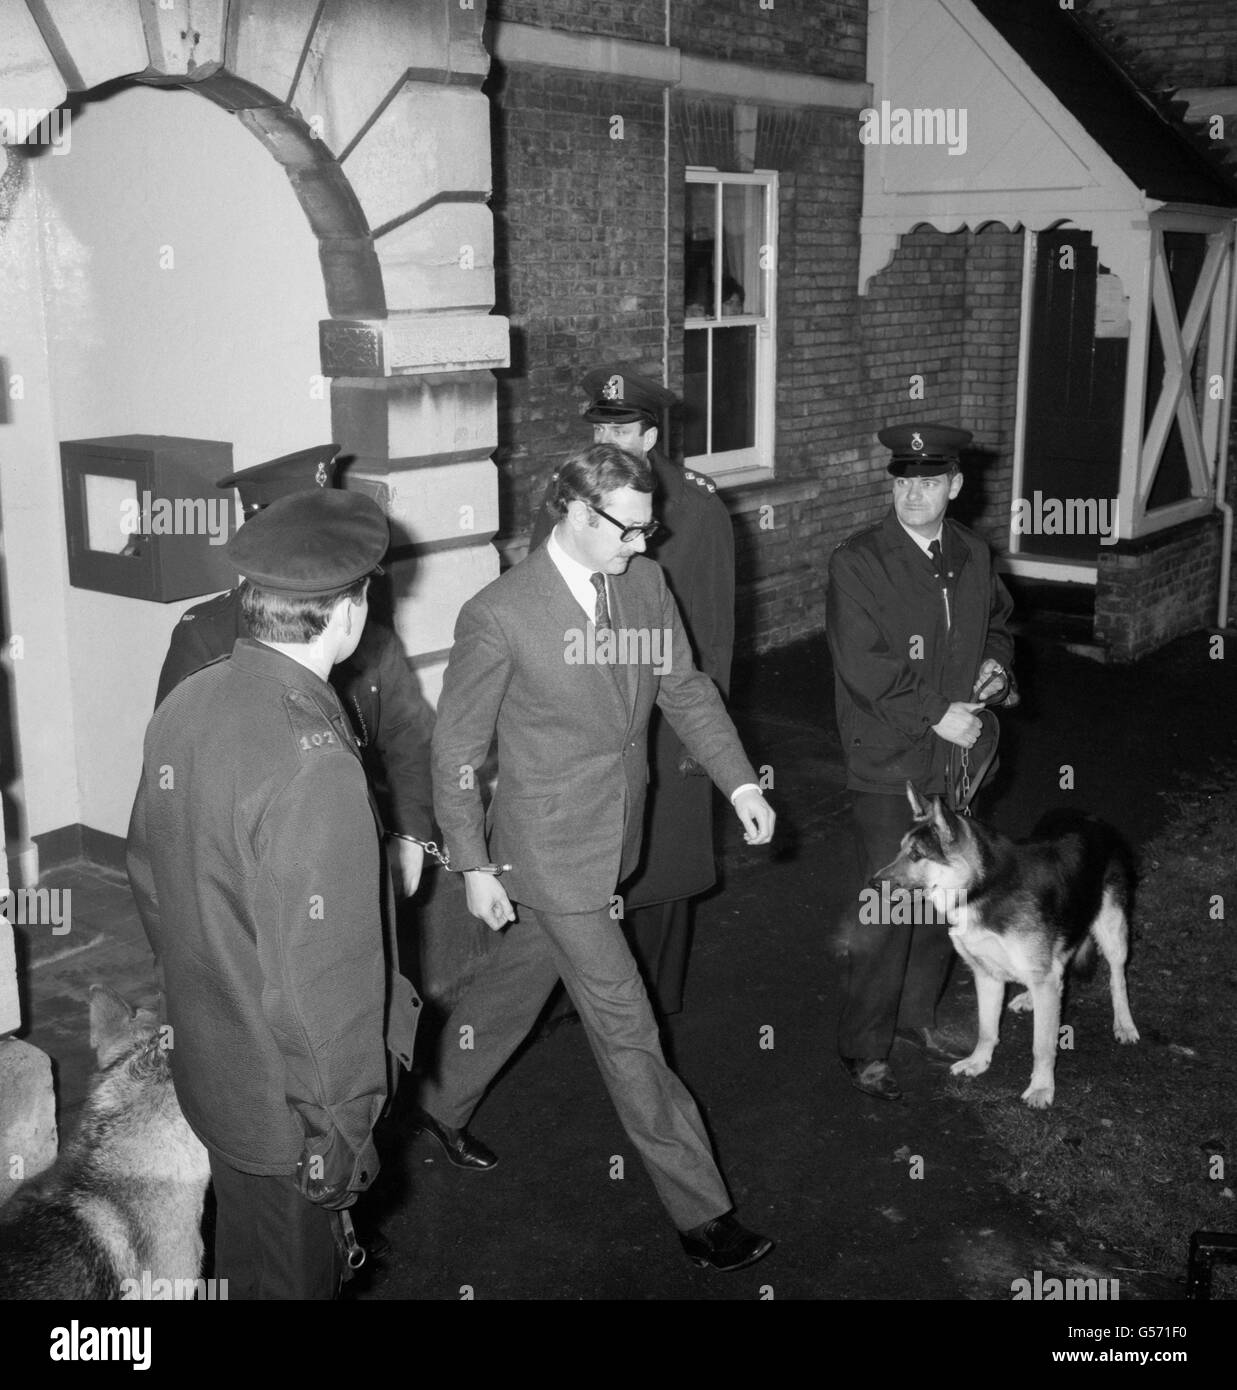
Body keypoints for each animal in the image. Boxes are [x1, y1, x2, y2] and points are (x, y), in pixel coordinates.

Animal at [872, 789, 1134, 1112]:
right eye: (900, 851)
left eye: (916, 855)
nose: (872, 883)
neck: (982, 887)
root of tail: (1093, 818)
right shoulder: (987, 975)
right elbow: (987, 1028)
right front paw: (978, 1062)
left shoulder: (1037, 975)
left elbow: (1042, 1045)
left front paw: (1041, 1087)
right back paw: (1030, 998)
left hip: (1112, 929)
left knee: (1117, 979)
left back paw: (1124, 1024)